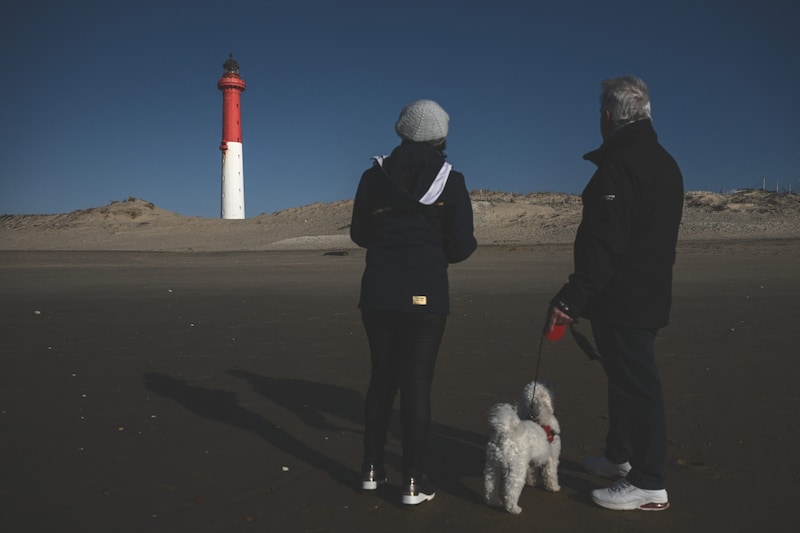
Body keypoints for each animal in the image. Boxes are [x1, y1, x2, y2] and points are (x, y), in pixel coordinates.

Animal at [482, 380, 564, 512]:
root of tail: (505, 434)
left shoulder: (530, 461)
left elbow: (531, 472)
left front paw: (533, 483)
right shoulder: (552, 458)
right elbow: (550, 474)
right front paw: (554, 487)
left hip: (492, 465)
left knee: (489, 485)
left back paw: (493, 502)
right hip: (516, 468)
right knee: (510, 492)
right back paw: (514, 509)